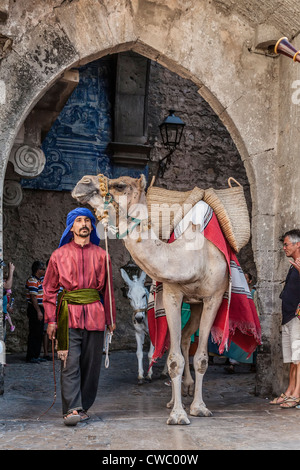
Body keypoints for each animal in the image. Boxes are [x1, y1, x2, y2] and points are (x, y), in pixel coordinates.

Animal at [72, 174, 227, 424]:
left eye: (120, 185)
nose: (82, 182)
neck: (194, 259)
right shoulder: (173, 294)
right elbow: (174, 358)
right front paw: (178, 414)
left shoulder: (214, 297)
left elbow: (202, 358)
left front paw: (199, 408)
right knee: (182, 340)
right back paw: (176, 398)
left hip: (198, 304)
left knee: (186, 339)